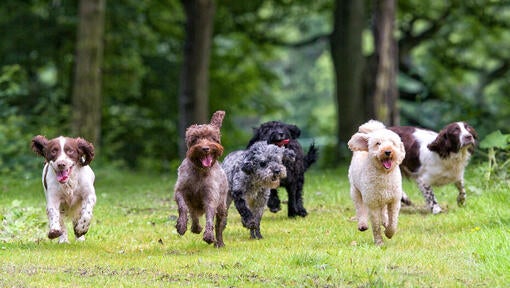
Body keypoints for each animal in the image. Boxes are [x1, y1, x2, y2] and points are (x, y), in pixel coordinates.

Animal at [173, 110, 229, 248]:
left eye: (211, 138)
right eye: (195, 139)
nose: (205, 148)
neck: (200, 170)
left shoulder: (210, 195)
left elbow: (209, 215)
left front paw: (209, 236)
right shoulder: (180, 190)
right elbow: (183, 207)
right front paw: (181, 226)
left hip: (222, 206)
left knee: (219, 225)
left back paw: (219, 243)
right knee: (193, 214)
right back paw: (195, 227)